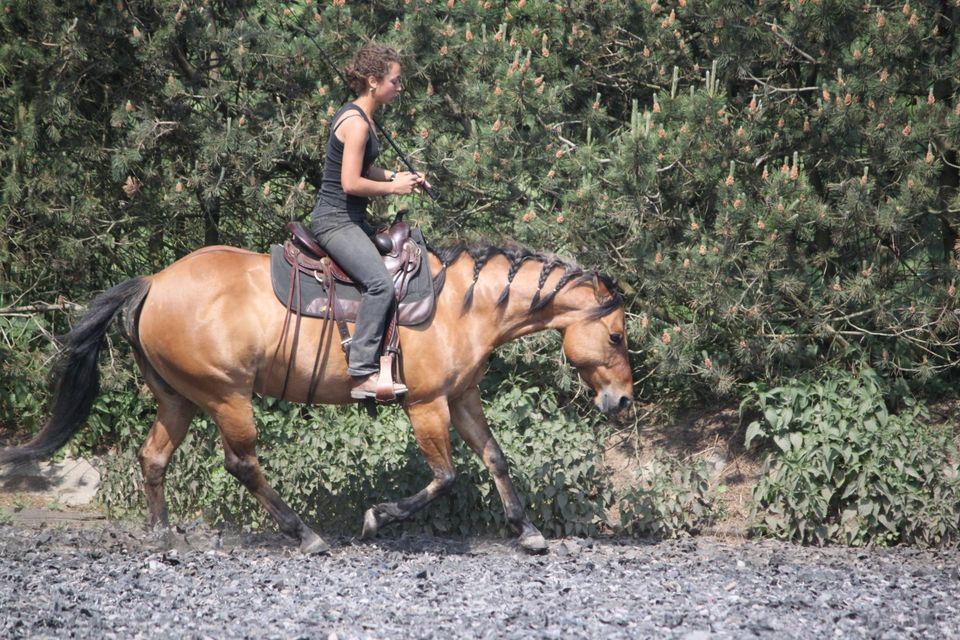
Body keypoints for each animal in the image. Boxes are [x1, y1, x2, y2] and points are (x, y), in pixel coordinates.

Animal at [0, 238, 632, 552]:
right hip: (226, 396)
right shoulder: (426, 404)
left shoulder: (461, 398)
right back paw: (304, 535)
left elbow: (495, 457)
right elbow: (446, 475)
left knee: (154, 458)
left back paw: (162, 537)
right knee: (242, 464)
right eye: (618, 336)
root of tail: (153, 282)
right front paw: (377, 518)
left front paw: (527, 532)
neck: (460, 305)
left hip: (179, 399)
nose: (623, 402)